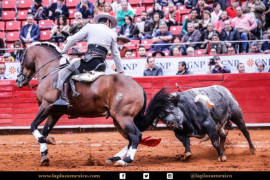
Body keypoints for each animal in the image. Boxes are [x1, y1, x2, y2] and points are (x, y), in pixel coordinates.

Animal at [15, 41, 149, 166]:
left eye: (21, 57)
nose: (18, 80)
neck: (51, 71)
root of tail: (138, 86)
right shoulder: (55, 113)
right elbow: (44, 130)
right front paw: (44, 155)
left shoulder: (46, 105)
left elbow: (33, 126)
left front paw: (48, 140)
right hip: (117, 119)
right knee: (130, 138)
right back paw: (114, 158)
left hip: (123, 117)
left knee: (136, 135)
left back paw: (126, 160)